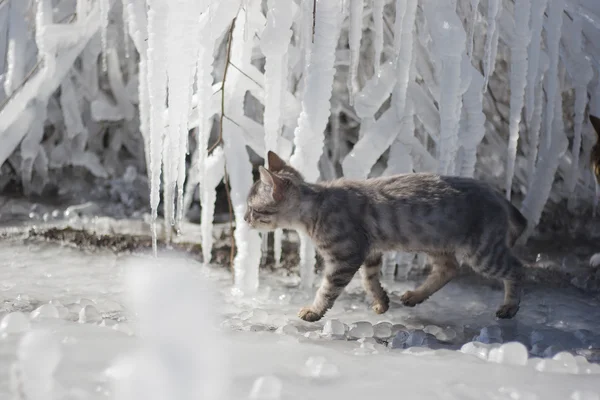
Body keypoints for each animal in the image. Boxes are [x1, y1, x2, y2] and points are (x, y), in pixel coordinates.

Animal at [246, 150, 528, 322]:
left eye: (253, 208)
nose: (245, 219)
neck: (318, 205)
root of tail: (495, 193)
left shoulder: (345, 257)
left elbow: (326, 289)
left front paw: (313, 311)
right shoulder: (369, 252)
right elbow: (370, 280)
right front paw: (381, 302)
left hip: (482, 251)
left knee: (517, 268)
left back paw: (510, 307)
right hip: (436, 243)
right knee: (449, 269)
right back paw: (415, 295)